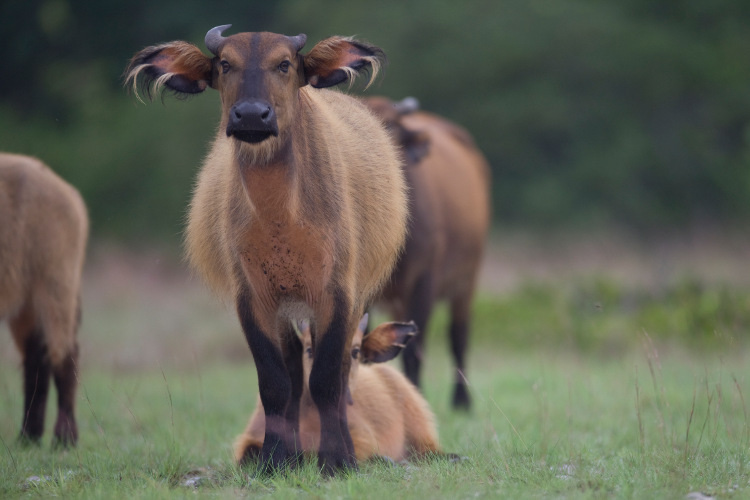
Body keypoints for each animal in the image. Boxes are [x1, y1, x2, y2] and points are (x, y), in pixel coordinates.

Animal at [0, 152, 89, 446]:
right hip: (24, 301)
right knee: (36, 357)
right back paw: (28, 435)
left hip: (54, 284)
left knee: (64, 353)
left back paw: (64, 437)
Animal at [123, 26, 408, 472]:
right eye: (226, 64)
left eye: (284, 64)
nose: (252, 115)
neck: (281, 220)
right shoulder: (253, 298)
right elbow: (275, 382)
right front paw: (274, 459)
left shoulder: (337, 293)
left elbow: (327, 378)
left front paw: (337, 459)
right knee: (292, 369)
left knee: (337, 371)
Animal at [364, 96, 494, 410]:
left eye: (391, 130)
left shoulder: (424, 282)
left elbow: (415, 350)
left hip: (467, 279)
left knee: (458, 336)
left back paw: (462, 400)